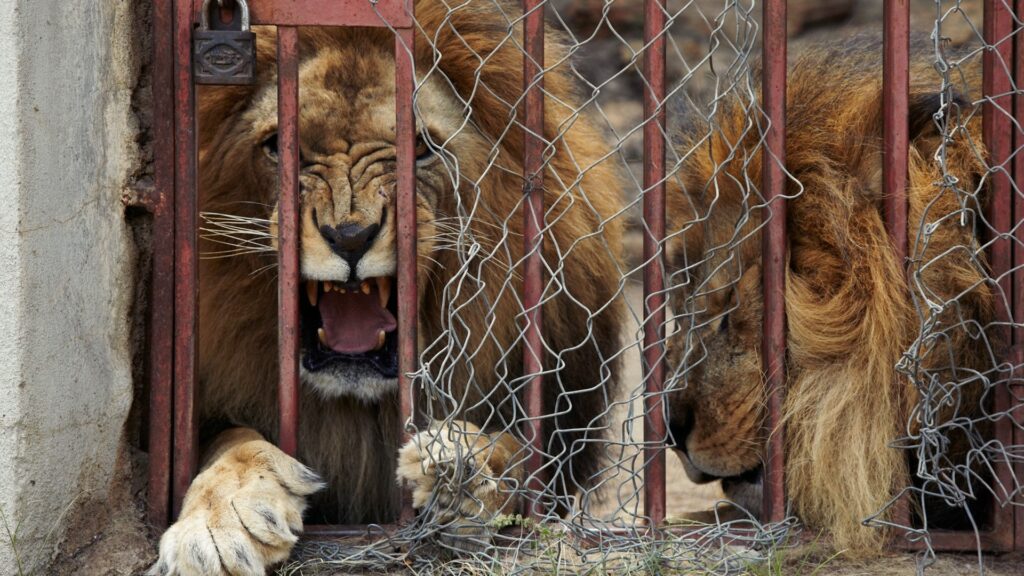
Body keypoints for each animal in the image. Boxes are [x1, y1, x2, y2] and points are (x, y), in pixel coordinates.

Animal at [149, 2, 626, 574]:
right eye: (279, 146)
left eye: (420, 148)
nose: (350, 236)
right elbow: (230, 440)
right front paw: (223, 519)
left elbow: (517, 461)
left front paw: (465, 471)